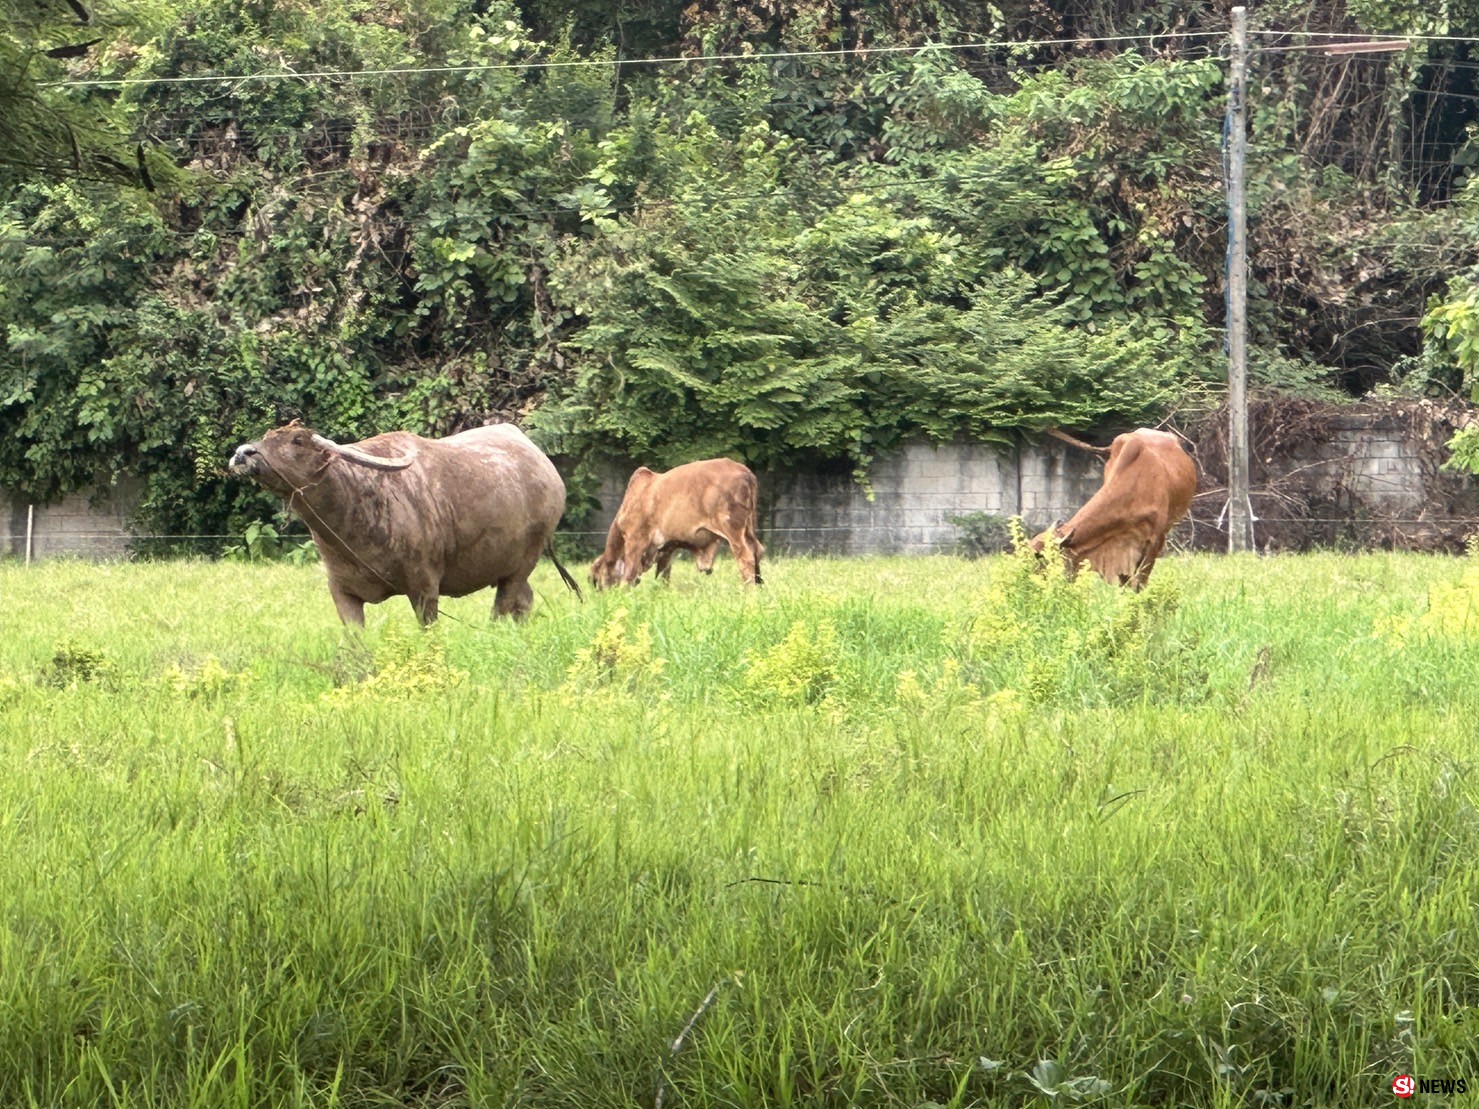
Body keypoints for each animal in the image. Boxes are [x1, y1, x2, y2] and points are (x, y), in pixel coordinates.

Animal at [227, 416, 579, 626]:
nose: (243, 453)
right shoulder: (342, 591)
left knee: (503, 608)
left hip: (522, 563)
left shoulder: (424, 587)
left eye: (297, 441)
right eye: (267, 436)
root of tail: (547, 468)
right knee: (524, 602)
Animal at [591, 458, 769, 591]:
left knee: (746, 556)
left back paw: (749, 591)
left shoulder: (635, 540)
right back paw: (760, 587)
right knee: (757, 551)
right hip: (748, 529)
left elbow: (629, 573)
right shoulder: (666, 548)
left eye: (598, 583)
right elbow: (662, 575)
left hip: (732, 528)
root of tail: (746, 472)